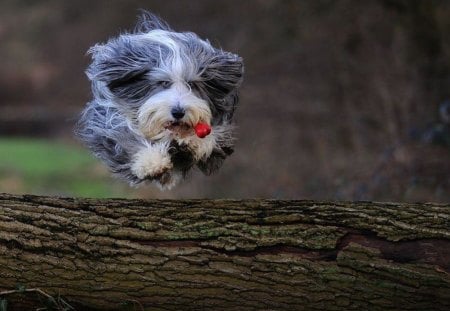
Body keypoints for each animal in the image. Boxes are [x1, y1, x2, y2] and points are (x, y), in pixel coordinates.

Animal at [78, 11, 246, 190]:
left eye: (192, 84)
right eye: (163, 82)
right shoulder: (107, 119)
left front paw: (195, 143)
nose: (178, 112)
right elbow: (124, 136)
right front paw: (151, 161)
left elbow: (213, 136)